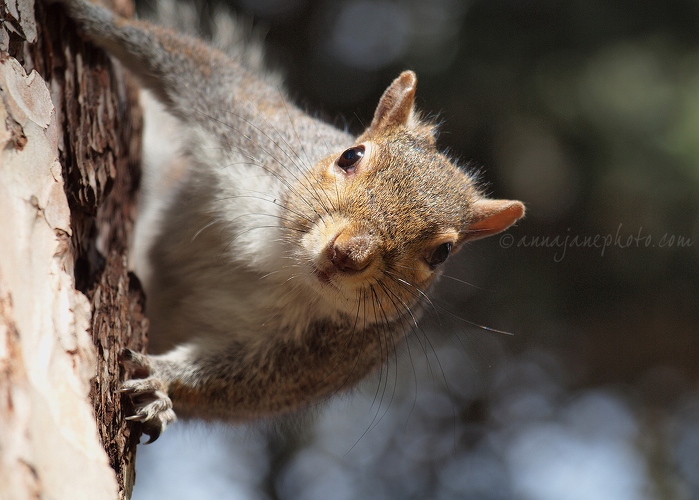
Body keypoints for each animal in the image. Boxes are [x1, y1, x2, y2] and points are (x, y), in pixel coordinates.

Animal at [56, 0, 524, 442]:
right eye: (350, 155)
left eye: (441, 253)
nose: (348, 254)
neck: (285, 261)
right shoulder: (252, 129)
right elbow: (193, 67)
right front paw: (86, 15)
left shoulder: (333, 352)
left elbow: (245, 384)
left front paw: (161, 382)